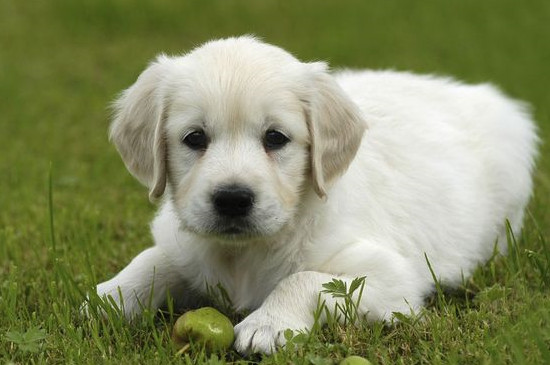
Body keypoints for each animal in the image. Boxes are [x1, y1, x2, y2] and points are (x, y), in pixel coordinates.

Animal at [95, 35, 540, 352]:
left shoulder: (393, 277)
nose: (233, 199)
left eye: (276, 138)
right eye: (194, 138)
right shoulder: (183, 244)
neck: (245, 255)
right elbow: (153, 259)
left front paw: (267, 324)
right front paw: (108, 297)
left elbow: (305, 278)